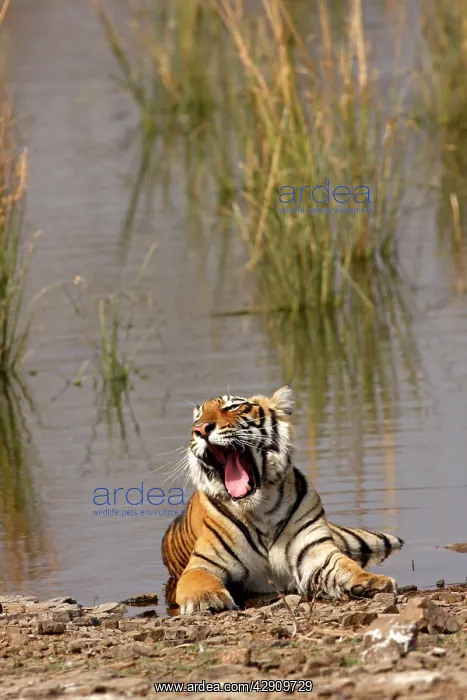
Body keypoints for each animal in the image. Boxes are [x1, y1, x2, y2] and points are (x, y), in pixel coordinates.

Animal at [162, 386, 403, 615]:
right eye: (197, 419)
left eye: (233, 407)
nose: (201, 429)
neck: (261, 509)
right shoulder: (204, 564)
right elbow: (198, 579)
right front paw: (205, 598)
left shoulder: (315, 553)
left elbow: (347, 566)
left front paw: (372, 581)